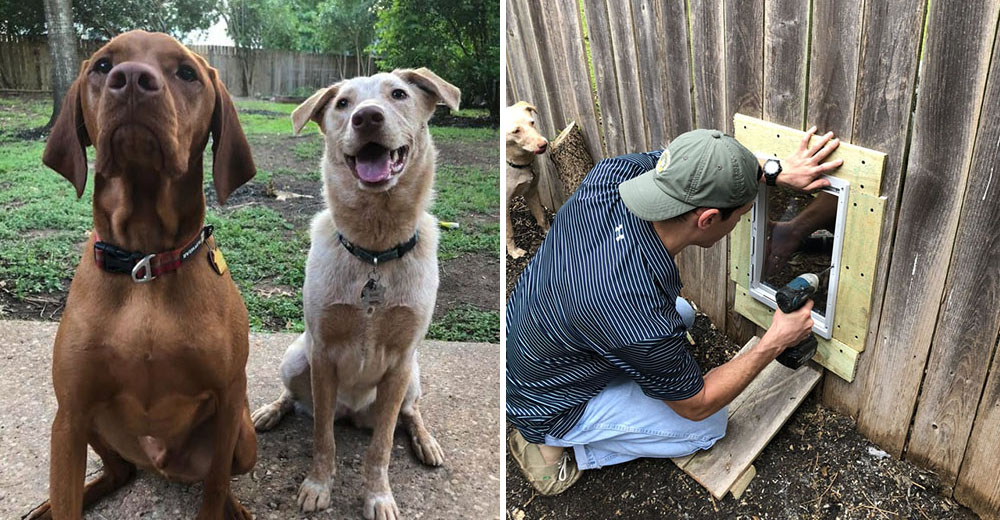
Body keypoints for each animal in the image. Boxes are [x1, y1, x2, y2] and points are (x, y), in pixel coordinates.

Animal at [29, 30, 260, 516]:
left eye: (187, 73)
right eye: (102, 64)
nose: (132, 79)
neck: (144, 262)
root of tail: (160, 464)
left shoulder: (229, 398)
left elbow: (214, 488)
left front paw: (222, 505)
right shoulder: (71, 413)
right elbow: (65, 497)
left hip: (244, 438)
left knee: (218, 478)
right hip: (88, 423)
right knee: (120, 471)